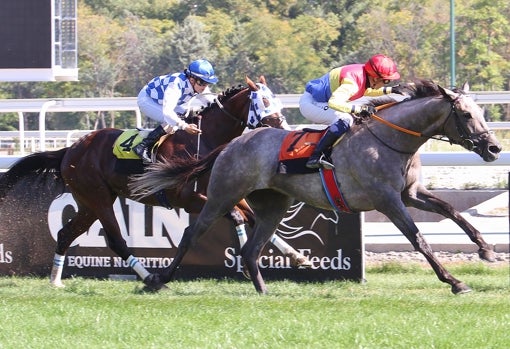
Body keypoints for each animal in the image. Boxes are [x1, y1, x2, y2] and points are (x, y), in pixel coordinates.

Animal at [0, 75, 304, 286]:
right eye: (264, 102)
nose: (285, 129)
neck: (204, 141)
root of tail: (71, 149)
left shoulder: (224, 193)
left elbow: (253, 217)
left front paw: (295, 255)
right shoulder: (188, 199)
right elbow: (238, 216)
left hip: (88, 203)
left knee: (65, 233)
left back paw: (55, 280)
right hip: (98, 199)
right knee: (117, 241)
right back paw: (150, 278)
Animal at [130, 79, 502, 294]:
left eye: (481, 112)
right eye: (466, 115)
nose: (495, 148)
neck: (391, 140)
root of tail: (231, 144)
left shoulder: (409, 194)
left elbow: (453, 211)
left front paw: (486, 250)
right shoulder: (387, 200)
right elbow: (419, 238)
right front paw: (455, 282)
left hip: (273, 206)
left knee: (250, 249)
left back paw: (264, 291)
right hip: (222, 196)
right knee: (192, 234)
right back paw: (158, 281)